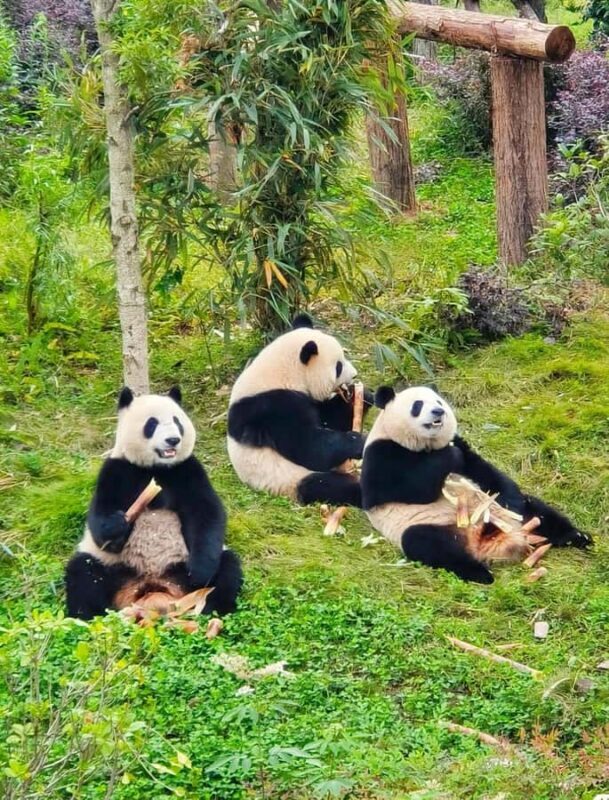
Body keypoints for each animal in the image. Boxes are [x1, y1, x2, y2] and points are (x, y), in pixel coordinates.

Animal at [65, 386, 243, 619]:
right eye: (152, 424)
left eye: (177, 421)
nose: (173, 440)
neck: (155, 468)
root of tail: (154, 587)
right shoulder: (117, 470)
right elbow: (99, 519)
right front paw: (118, 525)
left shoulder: (187, 470)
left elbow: (206, 513)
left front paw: (199, 572)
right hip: (110, 566)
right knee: (84, 574)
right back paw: (89, 617)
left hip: (185, 564)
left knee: (227, 568)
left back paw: (208, 609)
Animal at [227, 314, 372, 506]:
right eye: (338, 366)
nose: (355, 374)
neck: (285, 371)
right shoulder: (274, 407)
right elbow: (309, 447)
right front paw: (358, 441)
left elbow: (329, 419)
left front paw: (362, 395)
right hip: (287, 478)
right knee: (323, 485)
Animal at [360, 385, 592, 584]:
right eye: (417, 405)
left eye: (439, 402)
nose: (438, 411)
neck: (426, 445)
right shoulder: (381, 454)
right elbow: (411, 489)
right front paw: (448, 456)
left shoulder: (463, 449)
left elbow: (486, 473)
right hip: (429, 527)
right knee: (427, 544)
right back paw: (481, 573)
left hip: (515, 517)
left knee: (538, 511)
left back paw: (578, 537)